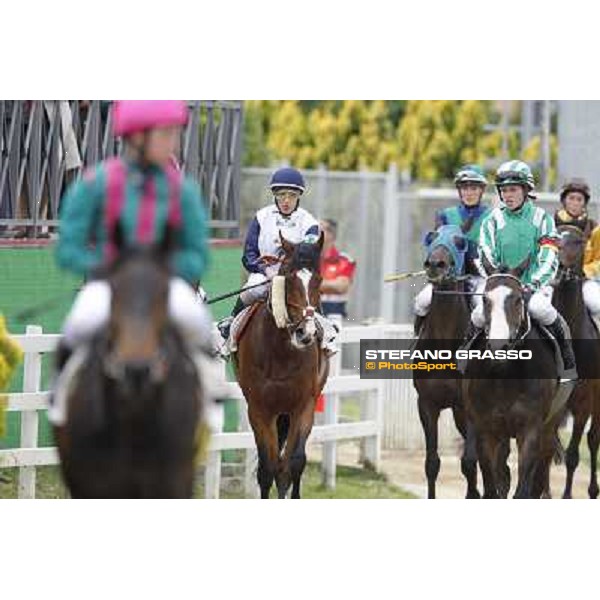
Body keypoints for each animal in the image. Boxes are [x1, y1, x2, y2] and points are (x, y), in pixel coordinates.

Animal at [233, 232, 328, 500]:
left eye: (318, 279)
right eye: (288, 276)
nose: (305, 333)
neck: (281, 354)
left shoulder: (303, 406)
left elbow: (293, 463)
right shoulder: (259, 410)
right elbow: (268, 467)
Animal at [462, 260, 568, 500]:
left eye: (519, 299)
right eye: (485, 299)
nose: (499, 345)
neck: (505, 376)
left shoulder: (530, 429)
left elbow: (523, 490)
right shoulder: (486, 428)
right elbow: (492, 487)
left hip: (552, 422)